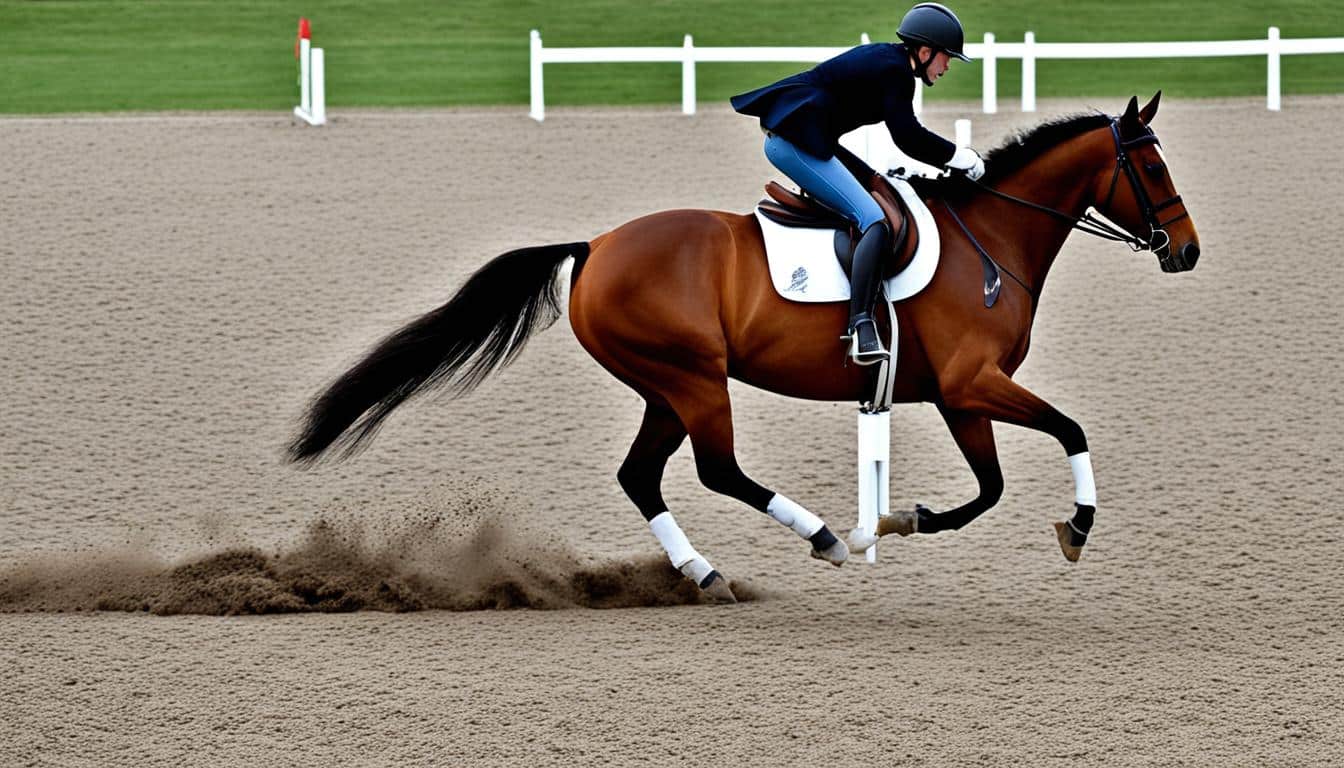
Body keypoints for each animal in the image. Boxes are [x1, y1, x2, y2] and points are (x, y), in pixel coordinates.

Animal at [288, 93, 1204, 605]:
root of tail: (595, 244)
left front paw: (904, 518)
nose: (1187, 251)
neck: (995, 239)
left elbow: (990, 488)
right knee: (716, 469)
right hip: (694, 379)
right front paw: (1074, 525)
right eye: (1153, 169)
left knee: (641, 476)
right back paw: (825, 537)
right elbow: (1069, 432)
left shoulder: (958, 394)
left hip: (665, 386)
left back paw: (705, 573)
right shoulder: (974, 383)